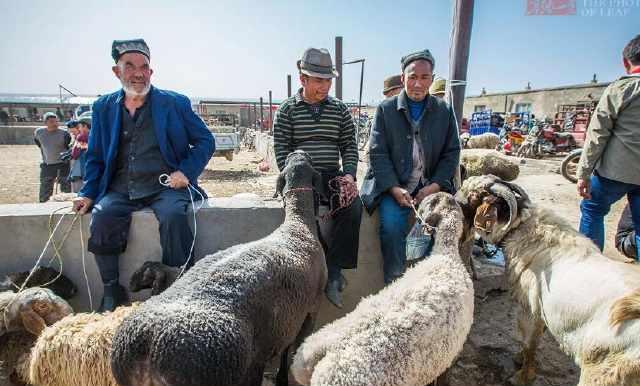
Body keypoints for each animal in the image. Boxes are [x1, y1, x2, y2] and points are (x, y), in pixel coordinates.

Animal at [458, 176, 640, 386]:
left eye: (474, 195)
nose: (454, 200)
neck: (523, 230)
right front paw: (520, 360)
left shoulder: (530, 308)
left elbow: (529, 343)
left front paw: (523, 376)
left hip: (603, 370)